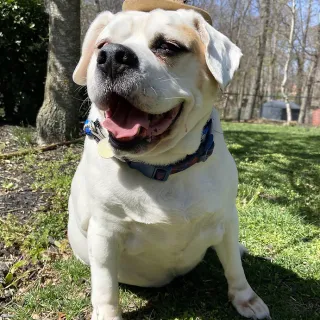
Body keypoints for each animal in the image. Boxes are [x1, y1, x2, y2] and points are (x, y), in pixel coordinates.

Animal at [69, 5, 272, 320]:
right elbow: (105, 285)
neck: (162, 166)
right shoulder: (105, 233)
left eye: (168, 46)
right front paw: (107, 313)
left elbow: (235, 269)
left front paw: (245, 298)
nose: (112, 56)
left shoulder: (227, 218)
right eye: (101, 45)